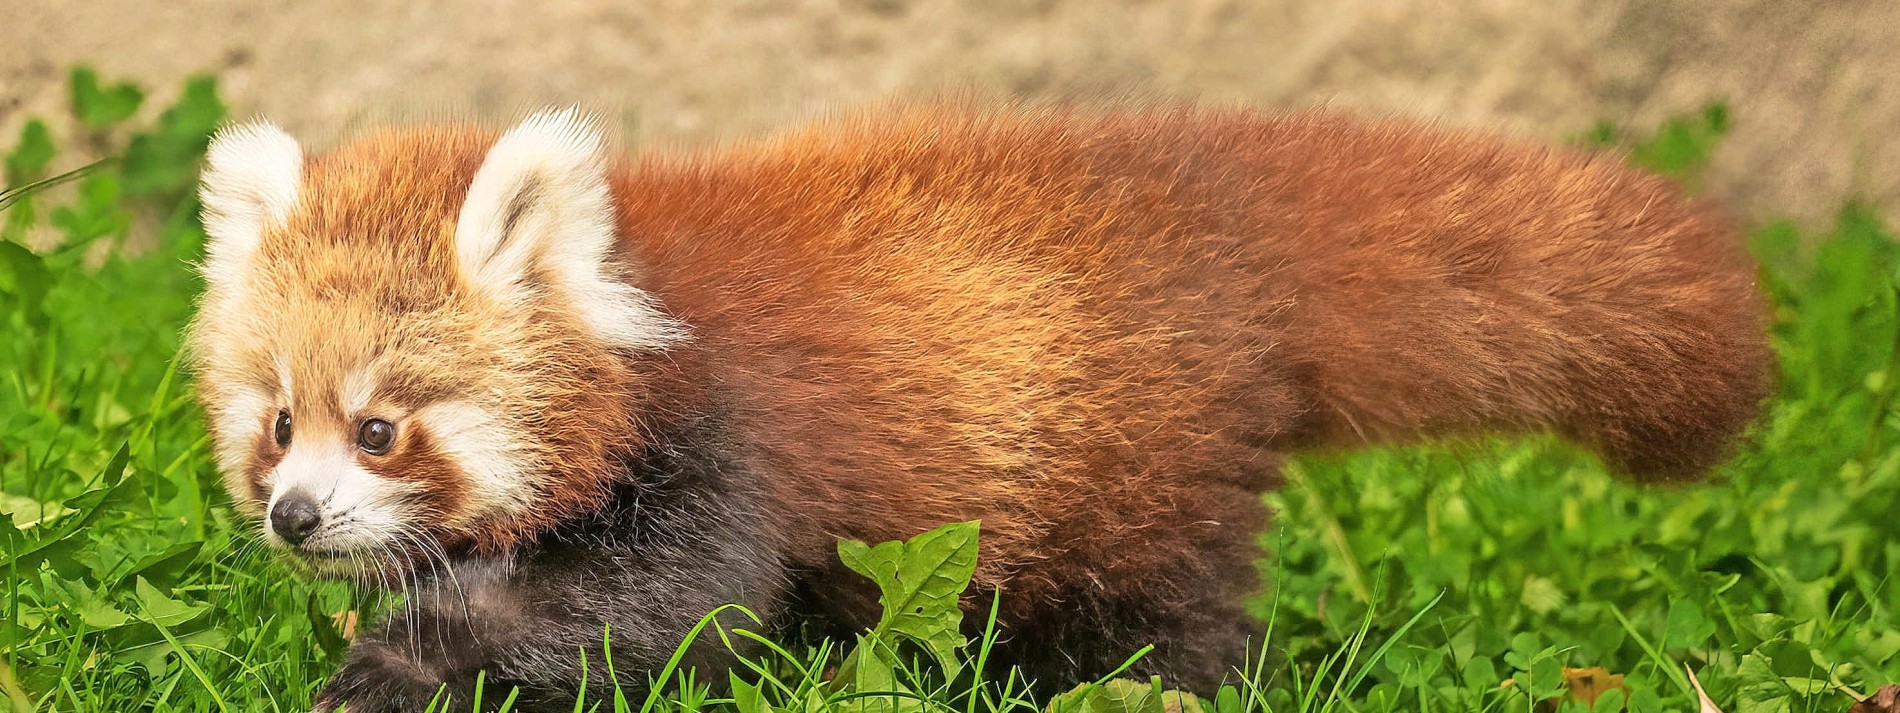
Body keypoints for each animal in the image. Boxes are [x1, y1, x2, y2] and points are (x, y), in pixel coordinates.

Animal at [185, 101, 1770, 713]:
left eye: (380, 425)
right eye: (275, 424)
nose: (297, 516)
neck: (647, 312)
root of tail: (1225, 207)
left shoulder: (730, 447)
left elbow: (654, 611)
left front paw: (393, 669)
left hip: (1134, 462)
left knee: (1162, 614)